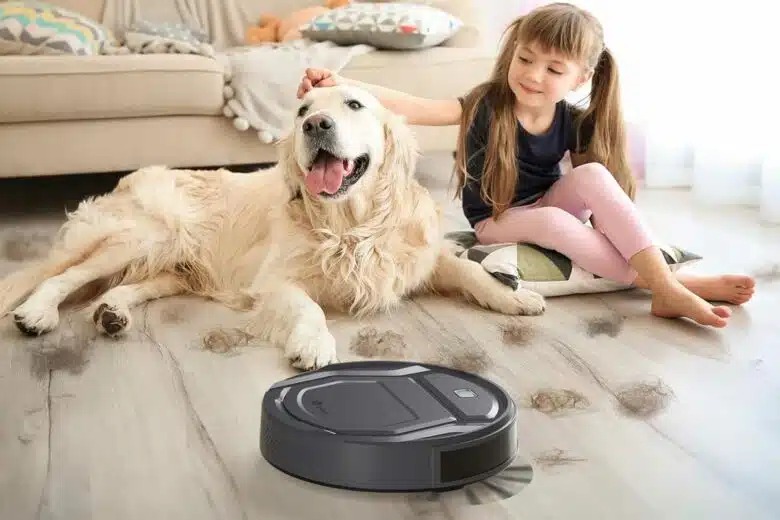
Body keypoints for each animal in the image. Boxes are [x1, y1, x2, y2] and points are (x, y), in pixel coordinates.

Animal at [0, 84, 544, 370]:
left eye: (354, 105)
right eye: (302, 109)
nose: (316, 124)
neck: (350, 225)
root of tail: (129, 178)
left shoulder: (416, 256)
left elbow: (469, 272)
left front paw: (514, 296)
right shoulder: (275, 281)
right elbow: (308, 307)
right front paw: (314, 344)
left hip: (174, 265)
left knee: (124, 285)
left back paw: (112, 311)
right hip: (143, 234)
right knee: (61, 276)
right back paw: (37, 313)